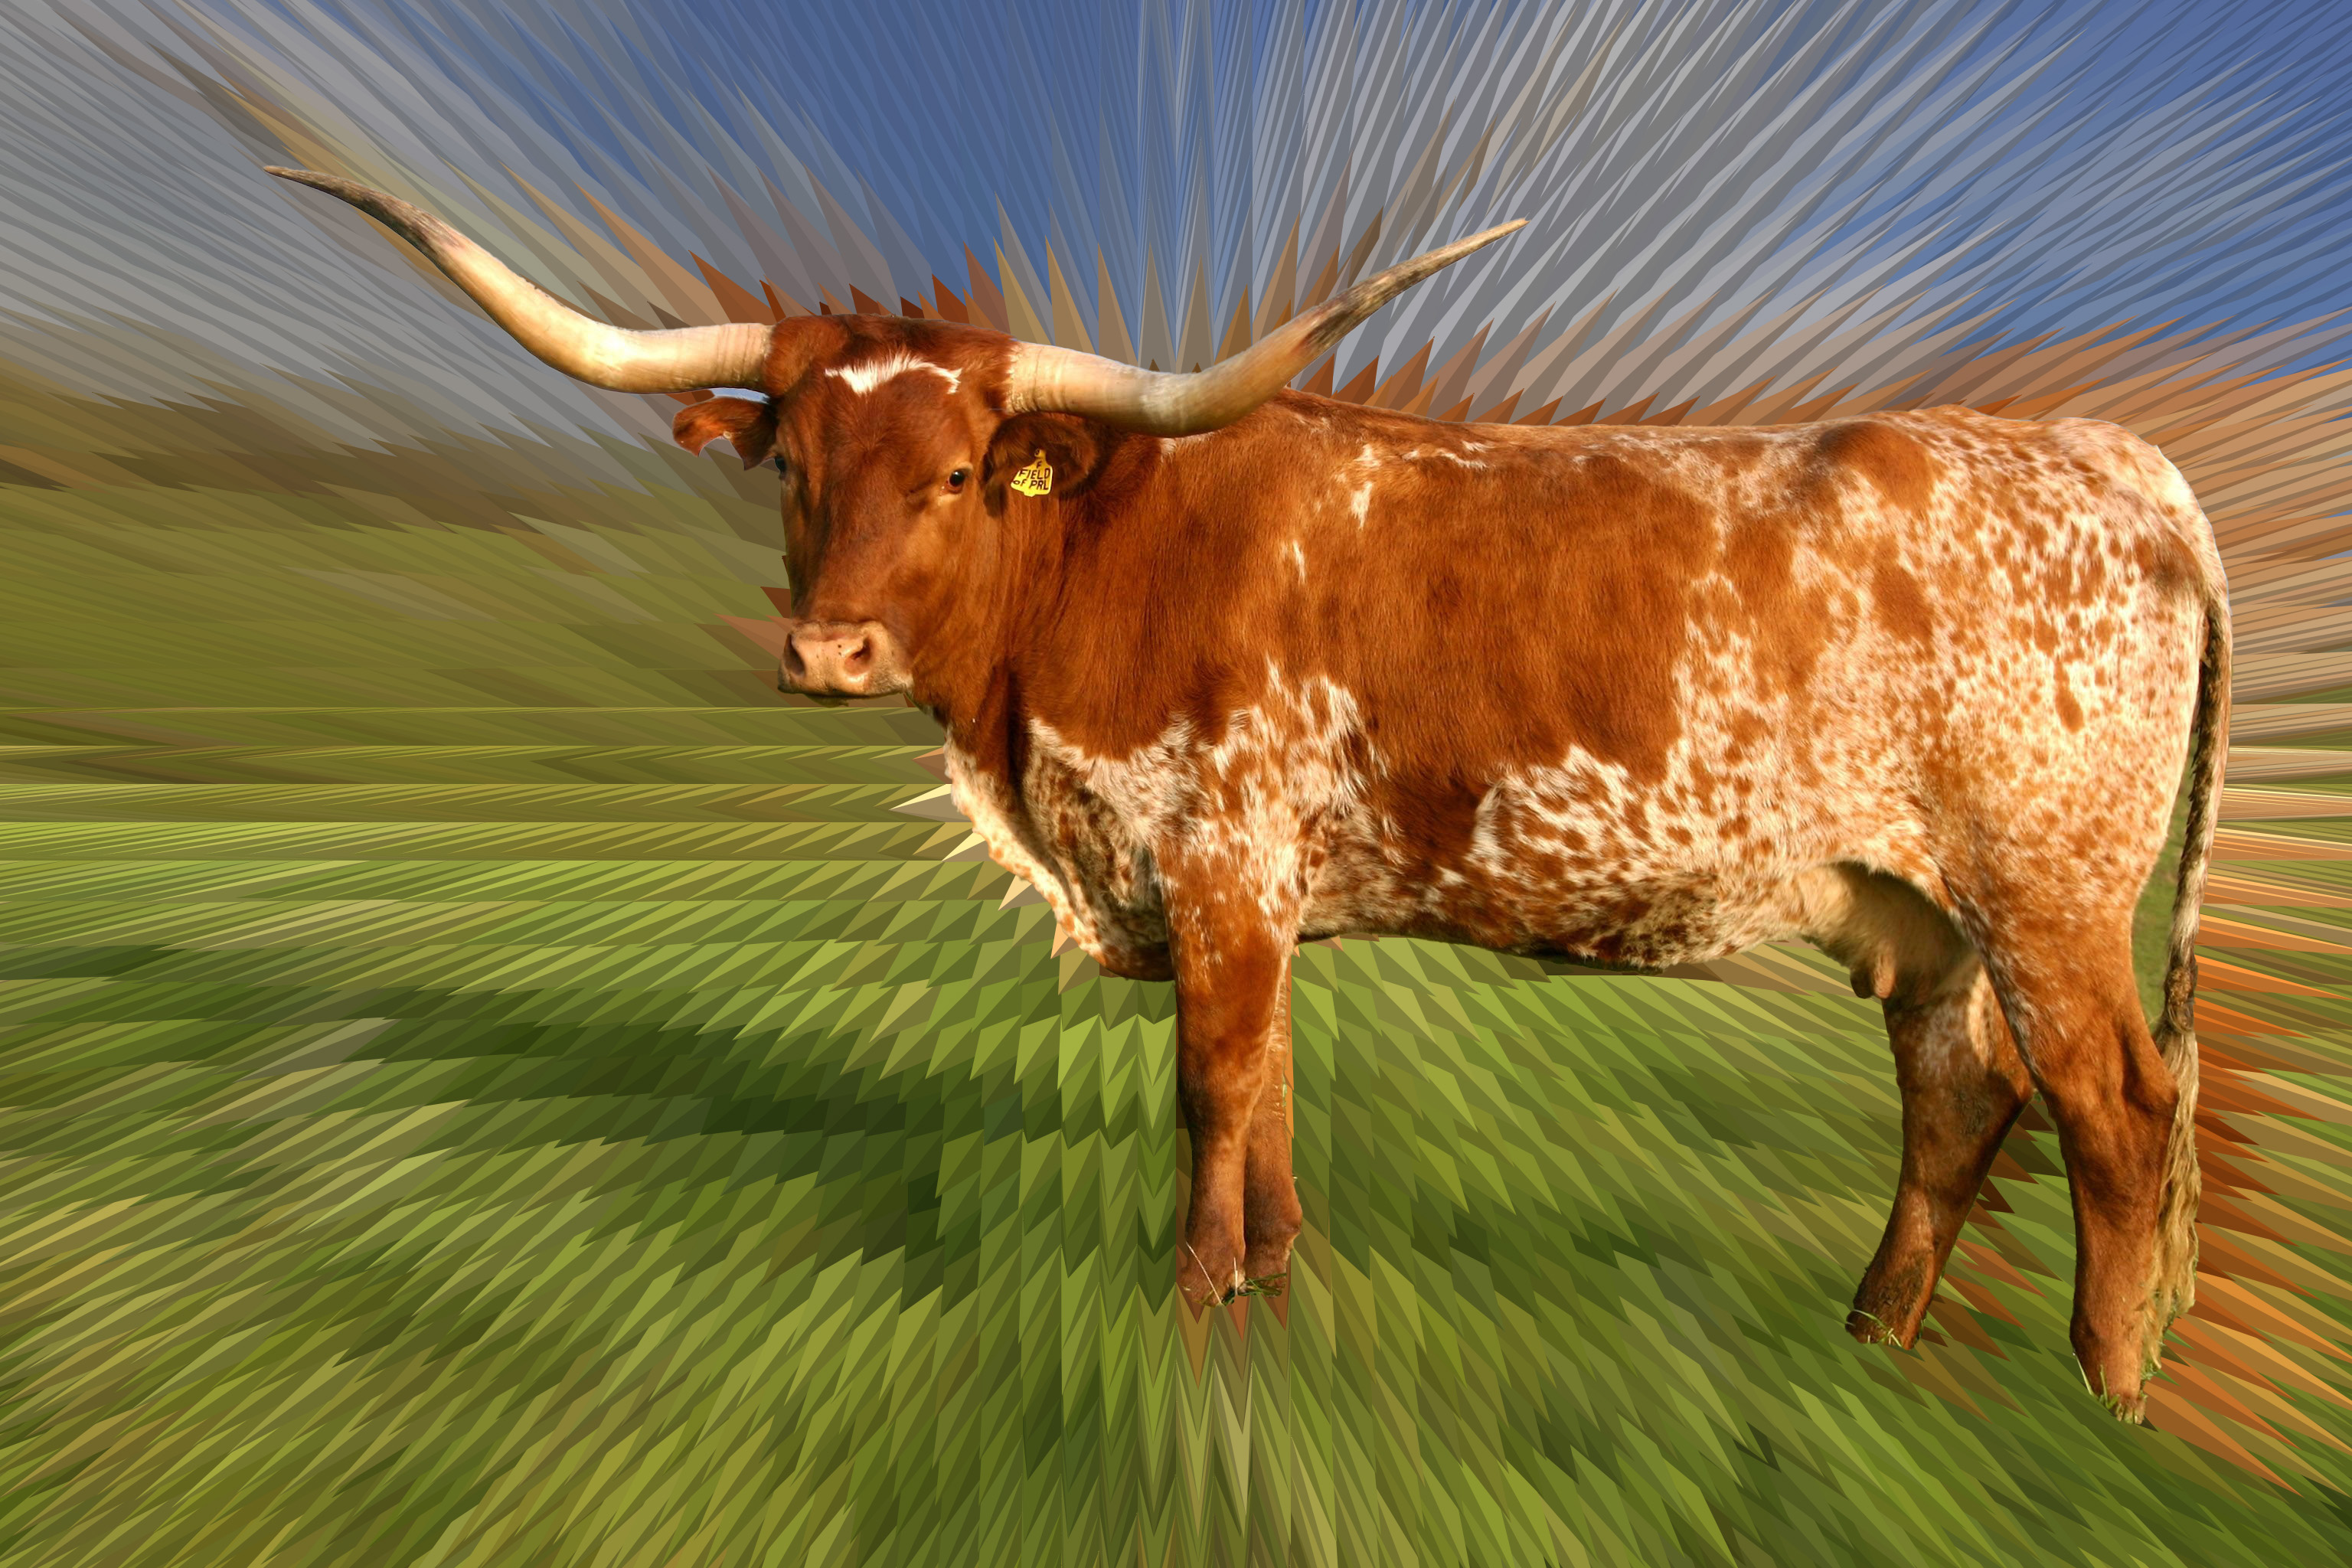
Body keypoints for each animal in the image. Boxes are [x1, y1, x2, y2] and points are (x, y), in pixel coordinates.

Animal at [269, 167, 2230, 1423]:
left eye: (962, 470)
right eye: (796, 466)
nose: (826, 650)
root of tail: (2116, 458)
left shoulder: (1213, 862)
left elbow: (1212, 1091)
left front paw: (1197, 1317)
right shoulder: (1258, 893)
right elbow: (1273, 1094)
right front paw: (1276, 1311)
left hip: (2044, 890)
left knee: (2116, 1109)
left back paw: (2103, 1402)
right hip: (1919, 911)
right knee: (1957, 1099)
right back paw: (1870, 1343)